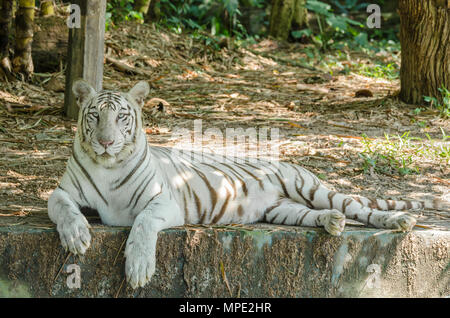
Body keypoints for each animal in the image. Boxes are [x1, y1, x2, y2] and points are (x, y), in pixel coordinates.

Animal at [47, 79, 448, 288]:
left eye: (121, 117)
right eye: (95, 116)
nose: (106, 142)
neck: (108, 166)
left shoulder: (163, 201)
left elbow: (143, 224)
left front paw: (139, 268)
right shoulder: (64, 191)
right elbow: (60, 205)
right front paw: (77, 236)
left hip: (311, 188)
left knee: (361, 208)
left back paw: (398, 221)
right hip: (283, 211)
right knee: (320, 215)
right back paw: (331, 222)